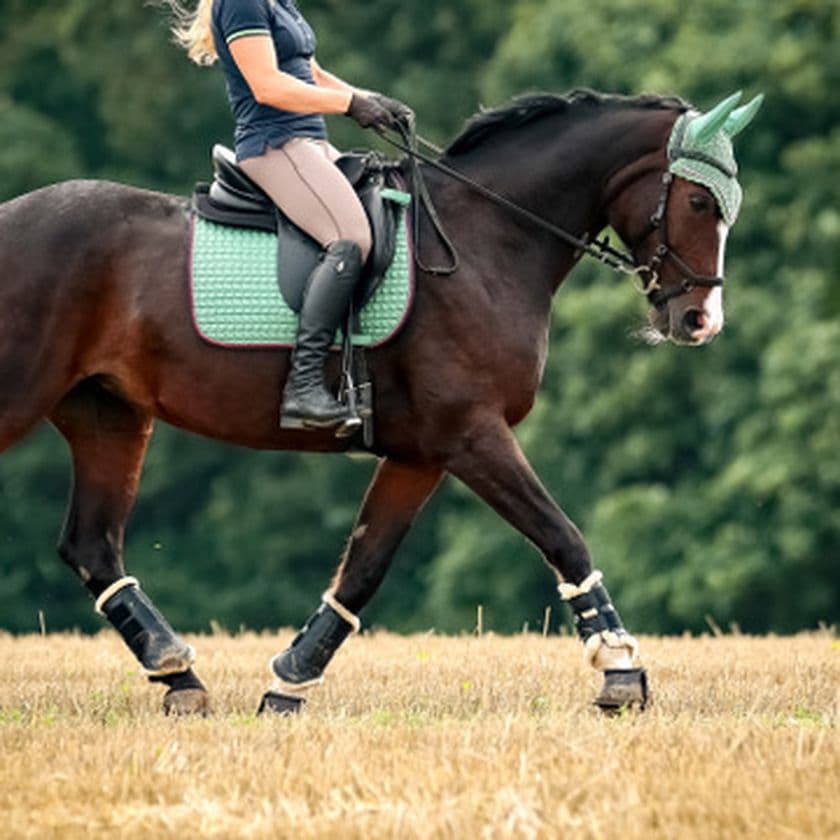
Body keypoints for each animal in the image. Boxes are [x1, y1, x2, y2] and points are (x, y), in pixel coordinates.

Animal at [0, 88, 761, 715]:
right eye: (699, 203)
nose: (700, 321)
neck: (488, 240)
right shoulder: (473, 435)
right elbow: (562, 536)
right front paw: (620, 672)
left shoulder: (422, 452)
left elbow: (363, 569)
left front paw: (290, 682)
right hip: (25, 396)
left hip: (108, 416)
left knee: (92, 545)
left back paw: (179, 677)